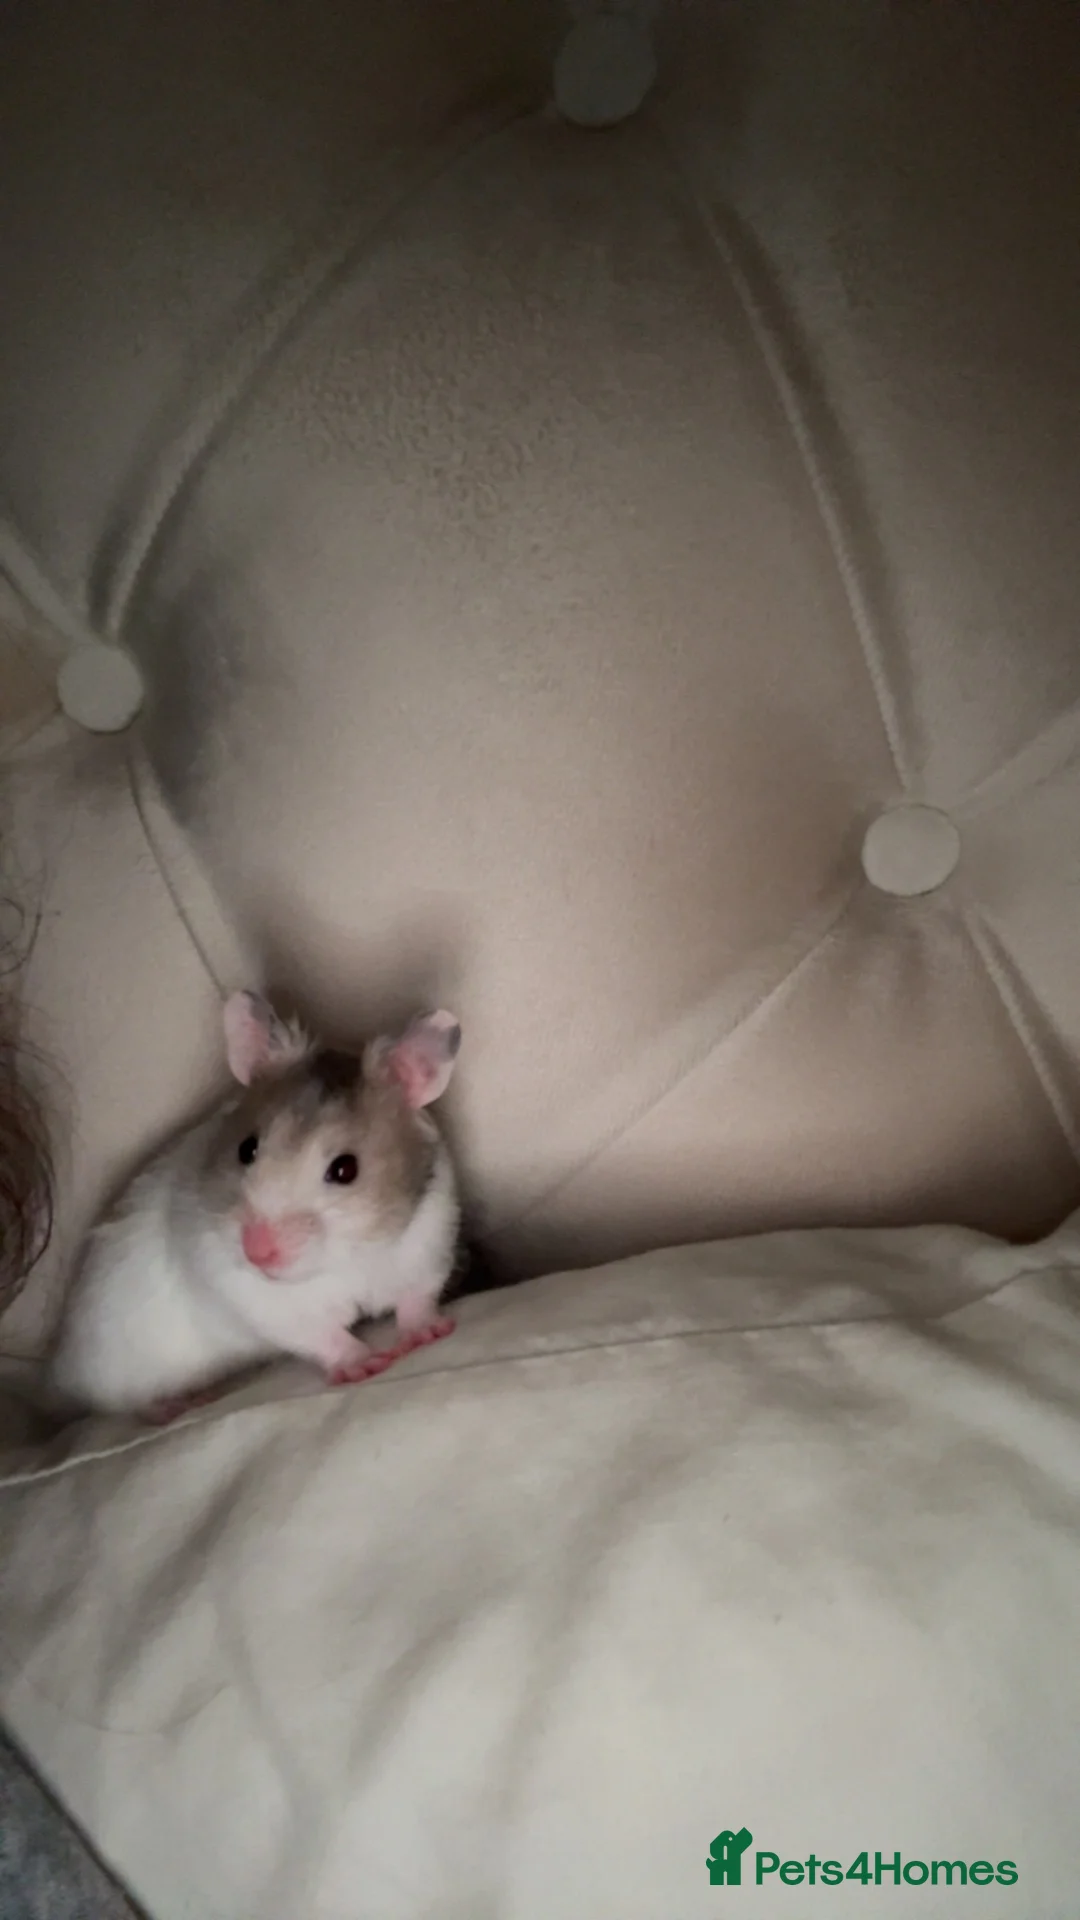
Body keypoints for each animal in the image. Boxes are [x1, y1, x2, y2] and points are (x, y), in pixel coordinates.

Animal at [47, 991, 464, 1422]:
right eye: (247, 1148)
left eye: (346, 1169)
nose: (256, 1252)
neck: (347, 1258)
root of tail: (60, 1371)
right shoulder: (271, 1305)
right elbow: (324, 1336)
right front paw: (365, 1365)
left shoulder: (425, 1246)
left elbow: (416, 1298)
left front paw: (432, 1333)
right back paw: (184, 1403)